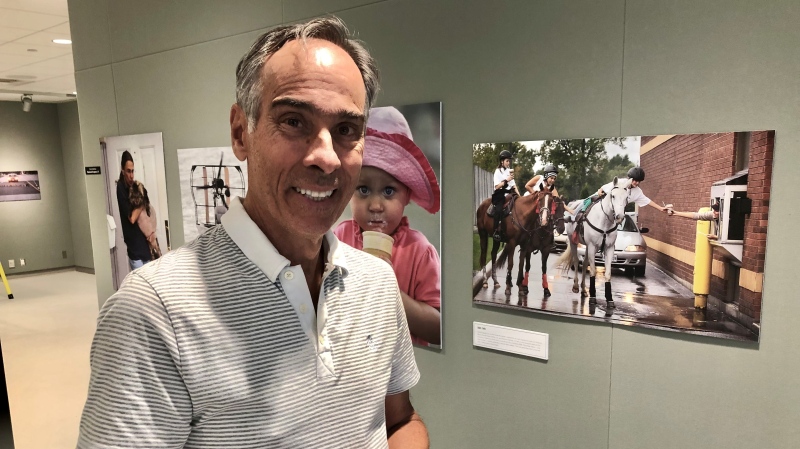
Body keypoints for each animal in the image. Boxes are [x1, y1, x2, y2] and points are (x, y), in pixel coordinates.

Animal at [560, 177, 628, 306]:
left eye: (627, 197)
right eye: (613, 196)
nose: (619, 217)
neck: (604, 221)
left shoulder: (609, 248)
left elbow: (607, 273)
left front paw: (609, 298)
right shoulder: (592, 246)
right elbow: (592, 271)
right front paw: (593, 297)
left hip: (587, 247)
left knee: (584, 263)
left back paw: (583, 290)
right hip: (573, 242)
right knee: (576, 261)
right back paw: (576, 286)